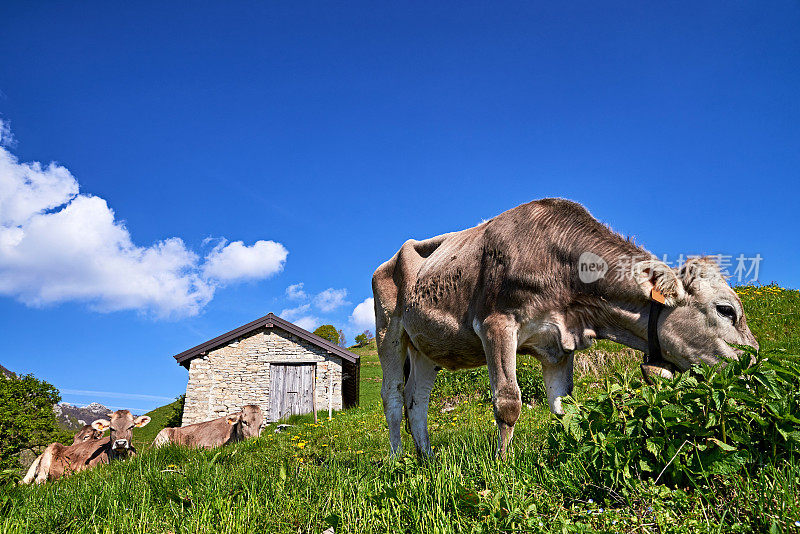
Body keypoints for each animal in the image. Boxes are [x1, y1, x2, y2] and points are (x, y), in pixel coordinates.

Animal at [372, 199, 760, 458]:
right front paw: (501, 467)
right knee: (393, 396)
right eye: (727, 310)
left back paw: (427, 459)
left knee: (417, 399)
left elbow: (564, 407)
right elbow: (508, 401)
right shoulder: (496, 324)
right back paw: (398, 461)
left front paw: (568, 451)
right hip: (388, 330)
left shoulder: (559, 344)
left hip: (425, 345)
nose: (754, 363)